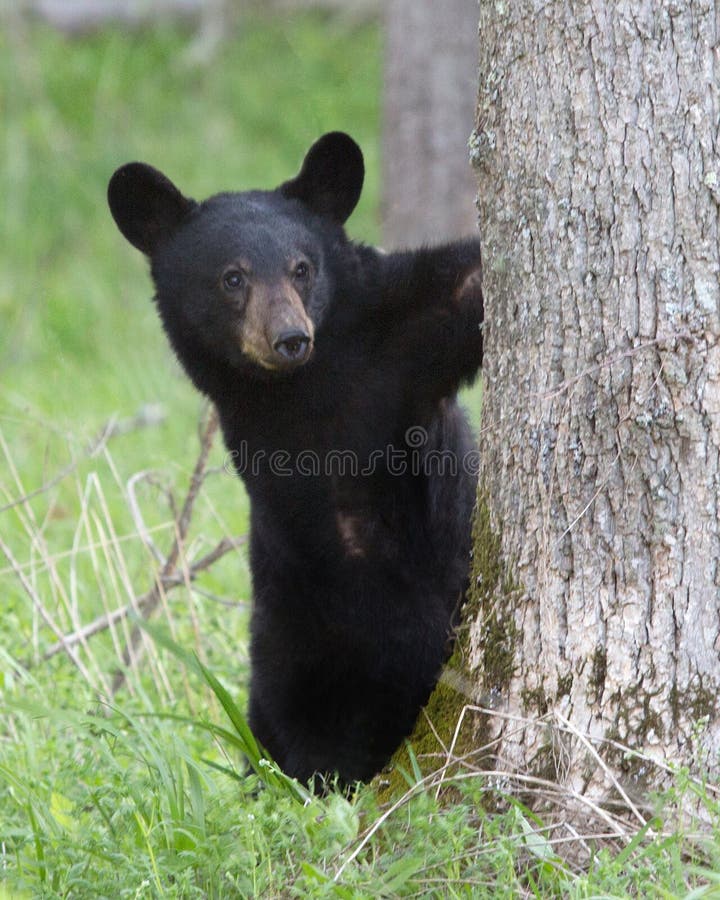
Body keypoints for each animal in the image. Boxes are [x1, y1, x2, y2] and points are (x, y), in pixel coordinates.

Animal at [109, 130, 484, 784]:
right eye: (232, 277)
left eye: (302, 268)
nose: (289, 338)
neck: (304, 391)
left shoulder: (402, 346)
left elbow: (461, 288)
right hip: (291, 636)